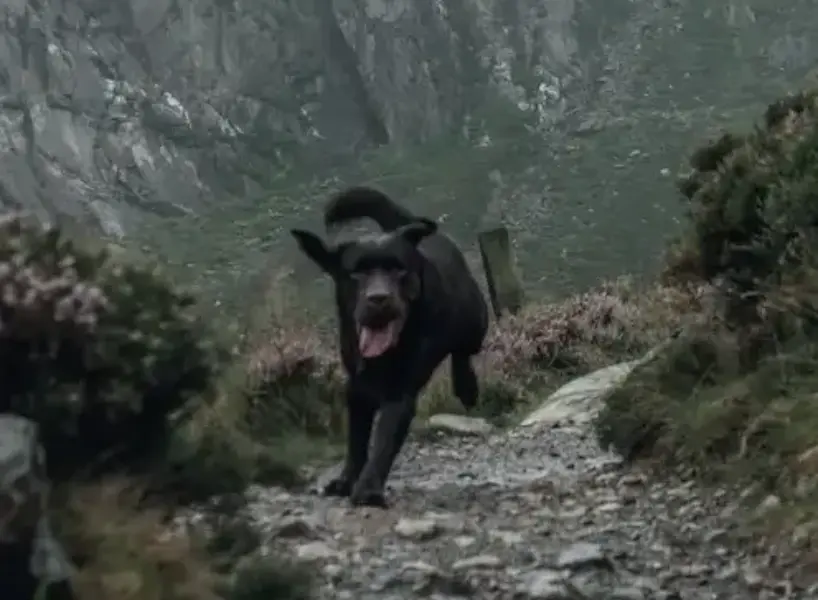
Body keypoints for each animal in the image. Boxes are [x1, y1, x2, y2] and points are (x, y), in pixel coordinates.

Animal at [290, 186, 488, 506]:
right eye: (356, 273)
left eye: (398, 270)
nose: (379, 298)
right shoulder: (356, 390)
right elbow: (357, 442)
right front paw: (346, 480)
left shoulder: (400, 394)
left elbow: (383, 442)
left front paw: (368, 488)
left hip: (475, 322)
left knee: (463, 353)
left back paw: (466, 387)